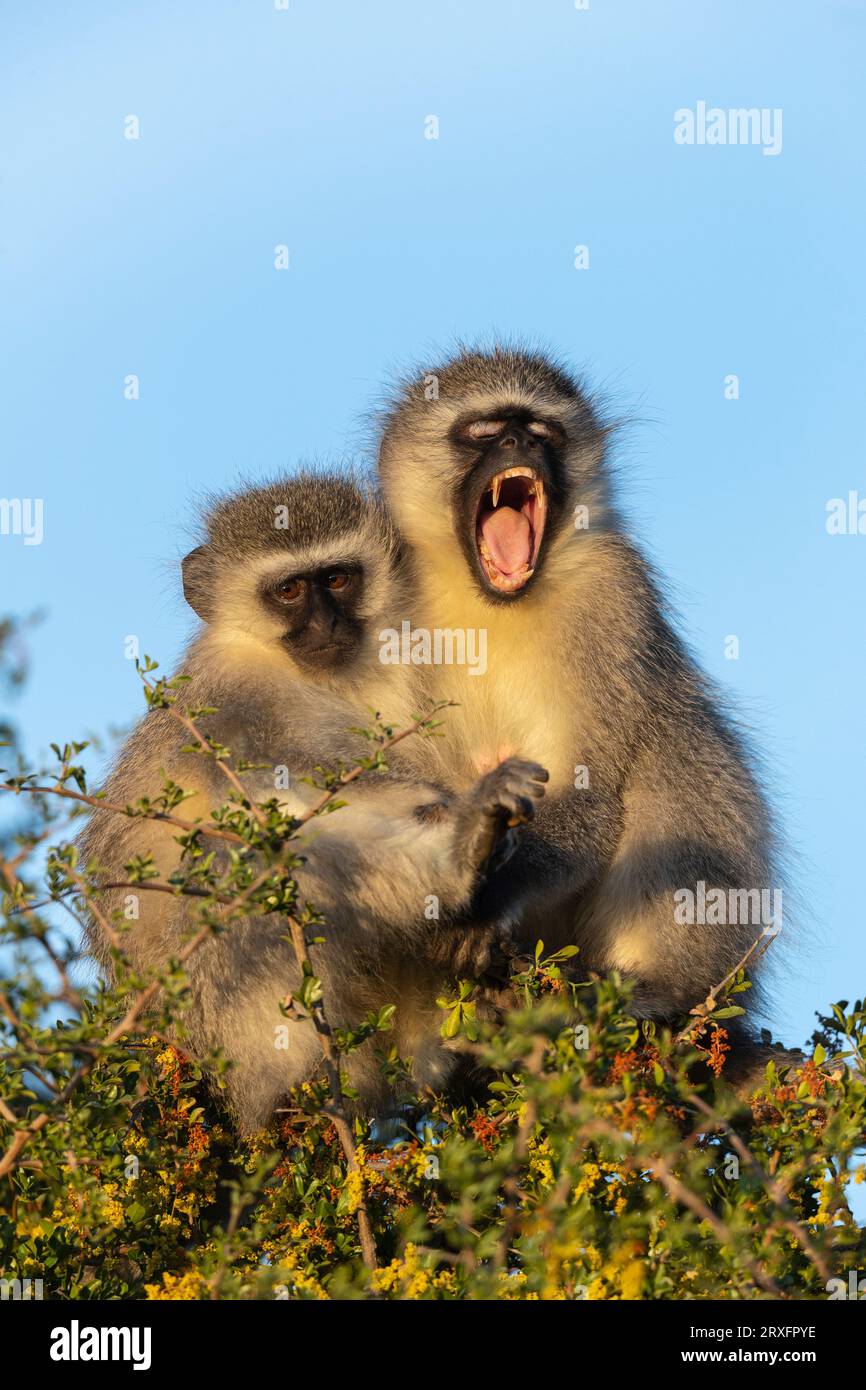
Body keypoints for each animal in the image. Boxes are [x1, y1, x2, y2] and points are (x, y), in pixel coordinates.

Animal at [79, 471, 547, 1133]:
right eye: (289, 589)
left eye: (337, 579)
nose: (325, 624)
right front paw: (458, 823)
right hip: (221, 1001)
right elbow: (304, 787)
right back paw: (458, 858)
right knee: (262, 856)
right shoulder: (236, 700)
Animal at [375, 345, 780, 1072]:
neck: (489, 606)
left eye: (543, 433)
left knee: (671, 749)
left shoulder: (613, 587)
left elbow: (592, 795)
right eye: (485, 430)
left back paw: (654, 995)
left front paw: (484, 900)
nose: (518, 445)